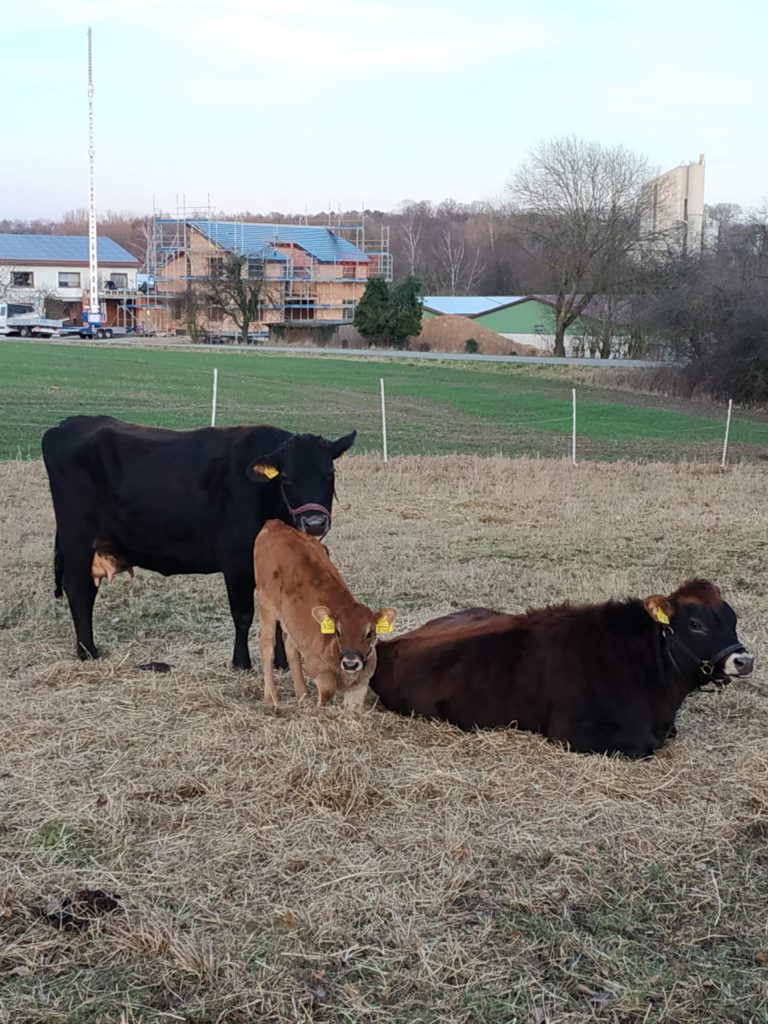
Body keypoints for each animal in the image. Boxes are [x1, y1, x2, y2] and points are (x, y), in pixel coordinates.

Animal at [41, 411, 354, 667]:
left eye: (330, 473)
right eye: (287, 477)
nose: (314, 522)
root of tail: (66, 424)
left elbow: (277, 616)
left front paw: (282, 664)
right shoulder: (236, 561)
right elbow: (242, 614)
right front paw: (241, 663)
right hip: (77, 537)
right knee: (78, 590)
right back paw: (88, 651)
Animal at [257, 520, 399, 704]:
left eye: (370, 633)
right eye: (338, 632)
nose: (351, 663)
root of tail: (275, 524)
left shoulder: (360, 685)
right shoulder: (317, 671)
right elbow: (327, 691)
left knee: (290, 645)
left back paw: (302, 694)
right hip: (266, 603)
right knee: (267, 645)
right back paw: (271, 697)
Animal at [372, 581, 757, 757]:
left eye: (733, 619)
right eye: (696, 624)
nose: (745, 660)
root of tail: (390, 644)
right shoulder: (572, 733)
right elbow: (646, 745)